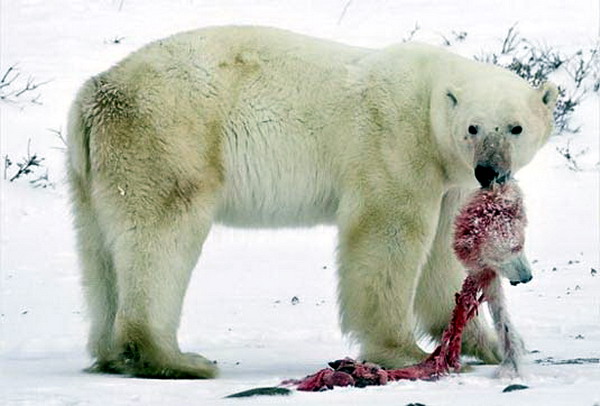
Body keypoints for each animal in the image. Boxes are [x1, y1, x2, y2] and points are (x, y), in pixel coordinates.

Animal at [67, 27, 556, 380]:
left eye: (515, 127)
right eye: (473, 127)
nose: (490, 171)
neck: (430, 99)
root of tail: (95, 92)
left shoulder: (448, 179)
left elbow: (442, 256)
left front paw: (484, 344)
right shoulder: (395, 144)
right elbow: (387, 235)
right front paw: (402, 351)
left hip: (93, 170)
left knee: (99, 252)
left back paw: (112, 354)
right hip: (169, 138)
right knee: (161, 238)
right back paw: (175, 359)